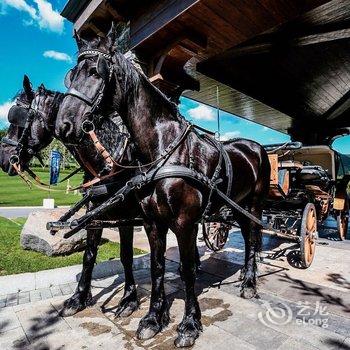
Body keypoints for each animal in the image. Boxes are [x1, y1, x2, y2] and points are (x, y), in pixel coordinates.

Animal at [56, 25, 270, 348]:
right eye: (71, 74)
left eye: (95, 72)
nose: (64, 125)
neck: (163, 149)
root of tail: (255, 146)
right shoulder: (151, 222)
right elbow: (156, 267)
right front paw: (153, 318)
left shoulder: (184, 222)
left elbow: (187, 270)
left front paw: (189, 324)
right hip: (237, 206)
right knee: (248, 237)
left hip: (253, 205)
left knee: (252, 239)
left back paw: (249, 282)